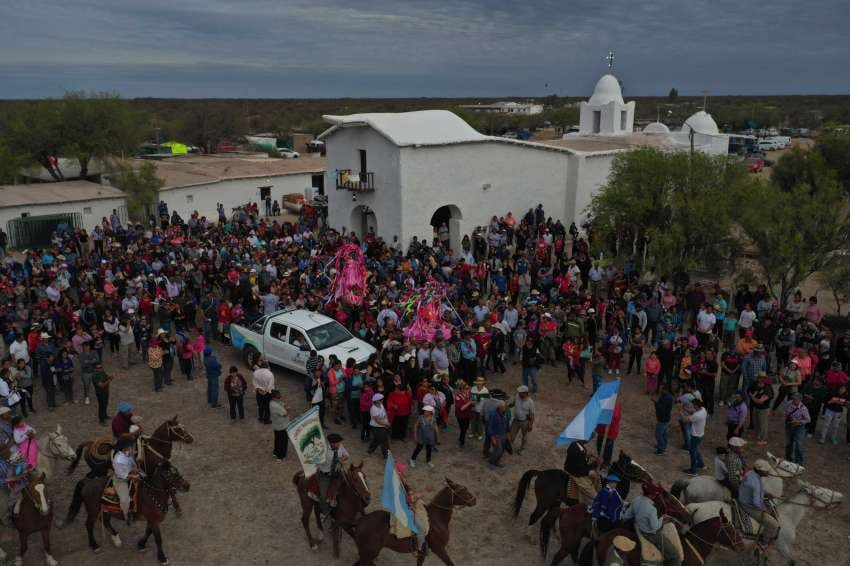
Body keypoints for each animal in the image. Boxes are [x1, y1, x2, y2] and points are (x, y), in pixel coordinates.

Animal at [688, 480, 840, 566]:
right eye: (821, 493)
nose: (839, 498)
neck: (787, 517)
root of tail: (696, 506)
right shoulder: (782, 546)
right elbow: (791, 562)